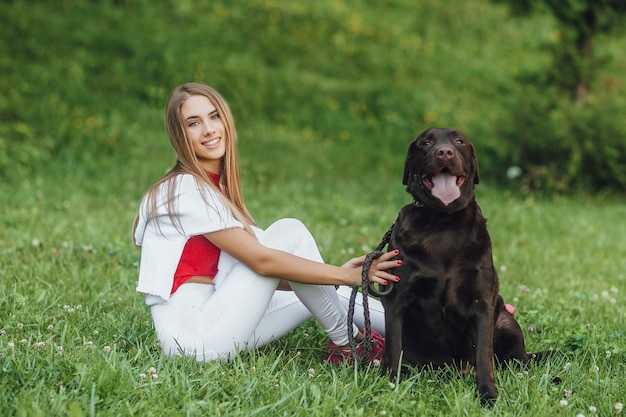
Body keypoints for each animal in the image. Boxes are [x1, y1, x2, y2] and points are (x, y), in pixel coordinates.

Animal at [380, 126, 532, 404]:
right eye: (426, 143)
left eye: (459, 141)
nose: (444, 152)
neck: (443, 222)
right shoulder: (397, 300)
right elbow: (394, 349)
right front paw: (391, 387)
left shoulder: (481, 303)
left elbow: (484, 357)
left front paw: (488, 395)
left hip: (507, 322)